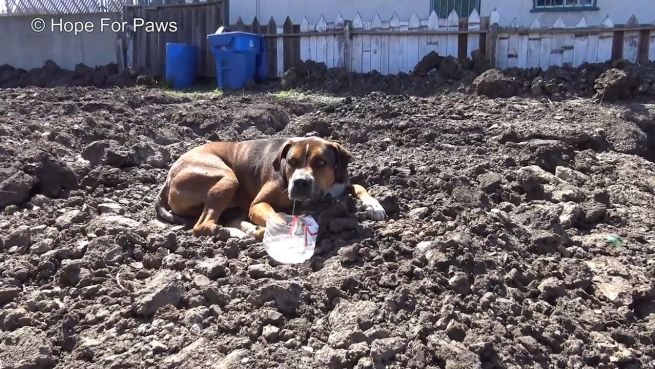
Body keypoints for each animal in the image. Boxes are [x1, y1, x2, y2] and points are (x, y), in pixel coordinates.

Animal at [156, 137, 386, 240]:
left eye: (321, 163)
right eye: (292, 162)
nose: (300, 182)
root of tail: (168, 178)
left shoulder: (340, 185)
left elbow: (359, 186)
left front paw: (374, 205)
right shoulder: (258, 204)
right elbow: (277, 218)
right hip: (227, 178)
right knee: (201, 225)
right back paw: (236, 232)